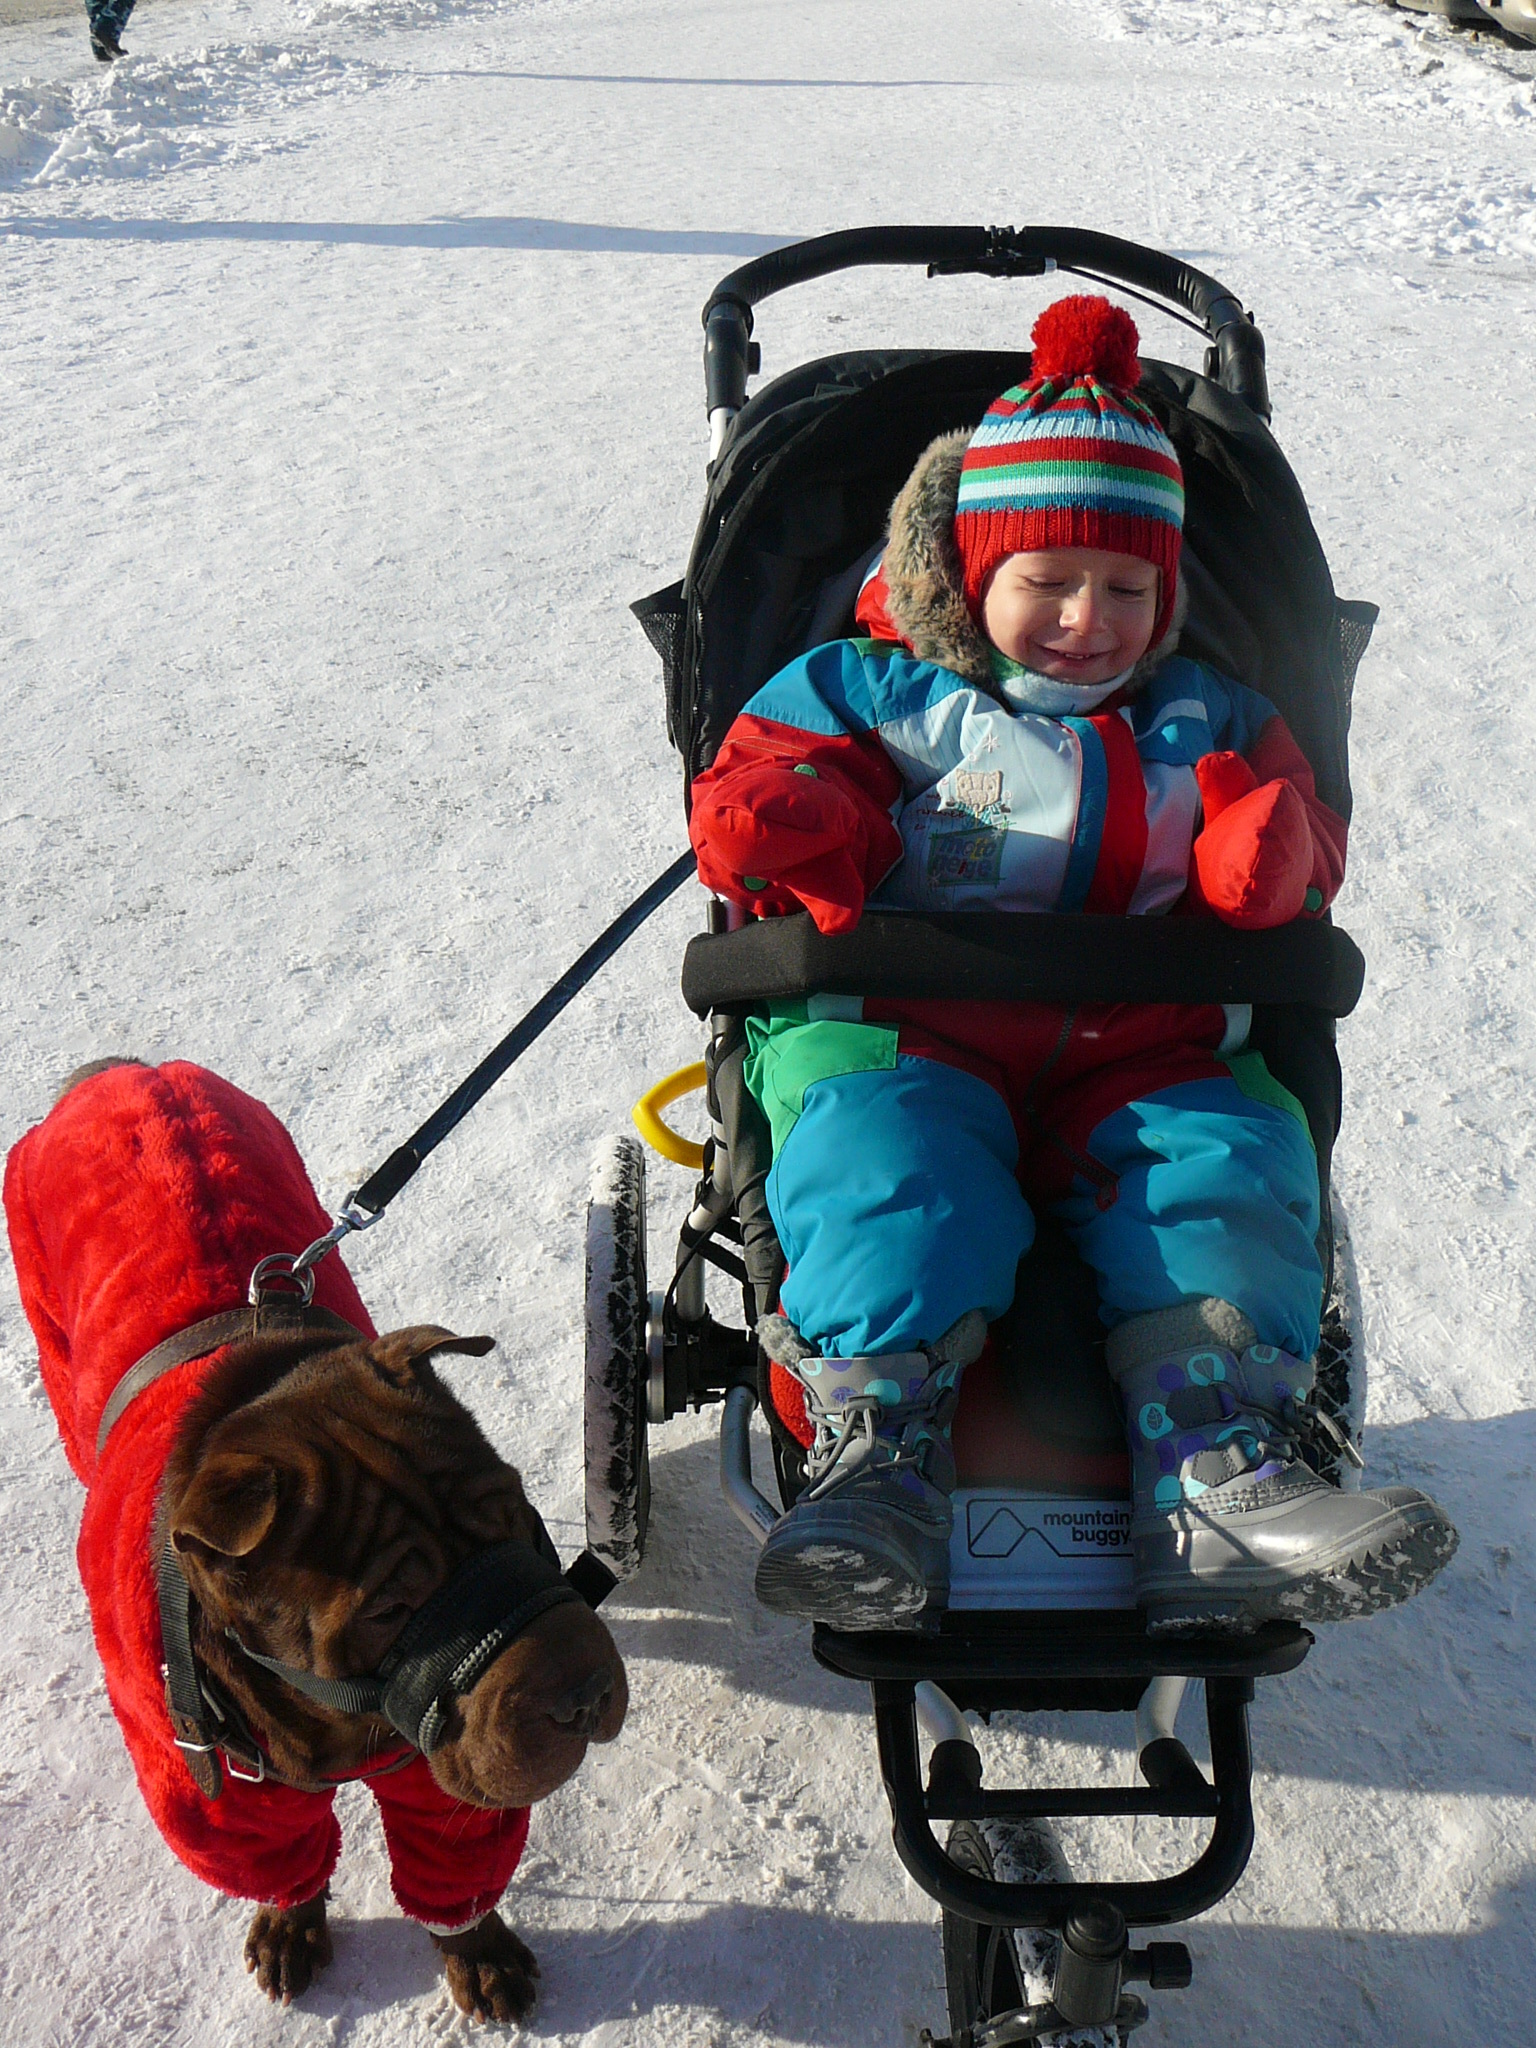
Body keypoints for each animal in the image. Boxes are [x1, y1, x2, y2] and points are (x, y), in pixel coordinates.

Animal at [1, 1064, 626, 2023]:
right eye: (390, 1608)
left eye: (517, 1515)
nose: (586, 1690)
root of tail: (124, 1070)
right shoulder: (220, 1801)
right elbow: (281, 1864)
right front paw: (291, 1924)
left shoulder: (444, 1774)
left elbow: (456, 1872)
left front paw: (476, 1950)